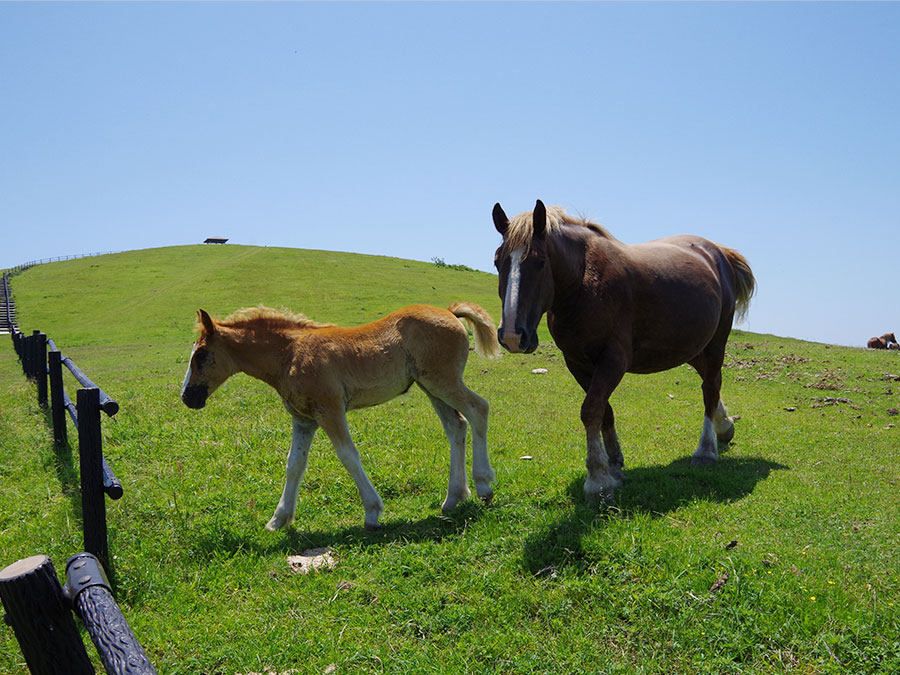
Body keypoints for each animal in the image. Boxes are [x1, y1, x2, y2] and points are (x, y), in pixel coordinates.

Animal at [179, 304, 502, 532]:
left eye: (202, 355)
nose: (187, 398)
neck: (289, 354)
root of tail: (450, 312)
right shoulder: (303, 420)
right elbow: (294, 464)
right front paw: (278, 519)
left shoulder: (330, 410)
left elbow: (348, 455)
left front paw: (372, 512)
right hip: (430, 386)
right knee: (456, 426)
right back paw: (453, 498)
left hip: (442, 380)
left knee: (478, 409)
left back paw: (484, 486)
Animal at [488, 201, 756, 502]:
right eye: (498, 262)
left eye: (541, 262)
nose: (512, 335)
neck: (584, 282)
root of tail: (718, 252)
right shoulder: (577, 363)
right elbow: (604, 411)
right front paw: (614, 465)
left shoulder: (613, 360)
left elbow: (591, 409)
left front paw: (598, 479)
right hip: (693, 348)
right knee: (711, 384)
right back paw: (725, 426)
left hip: (715, 344)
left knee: (710, 388)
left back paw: (707, 450)